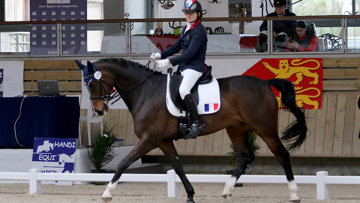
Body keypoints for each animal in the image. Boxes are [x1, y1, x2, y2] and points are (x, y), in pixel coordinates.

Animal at [75, 58, 306, 202]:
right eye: (86, 85)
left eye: (93, 83)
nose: (98, 110)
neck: (145, 91)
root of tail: (265, 83)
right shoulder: (164, 141)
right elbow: (178, 167)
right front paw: (190, 195)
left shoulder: (150, 139)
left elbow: (124, 162)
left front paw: (107, 192)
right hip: (237, 129)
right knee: (246, 156)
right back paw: (227, 190)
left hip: (264, 128)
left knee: (282, 154)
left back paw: (294, 194)